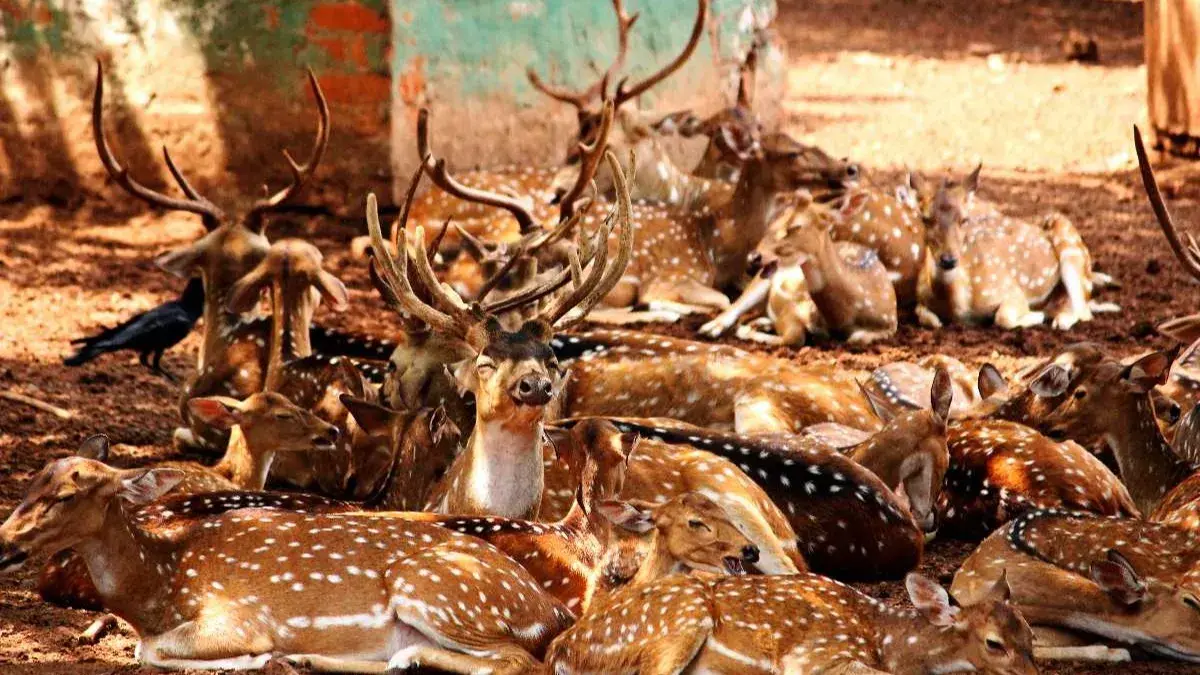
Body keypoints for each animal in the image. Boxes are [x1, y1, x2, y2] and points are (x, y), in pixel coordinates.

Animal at [0, 453, 576, 673]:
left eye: (67, 495)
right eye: (32, 483)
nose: (4, 542)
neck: (162, 586)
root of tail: (553, 611)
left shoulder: (242, 615)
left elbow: (150, 651)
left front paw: (254, 659)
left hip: (437, 588)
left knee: (519, 661)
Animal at [917, 164, 1116, 330]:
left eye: (964, 219)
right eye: (926, 219)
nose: (948, 259)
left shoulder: (1010, 289)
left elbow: (1003, 317)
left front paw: (1036, 316)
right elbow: (925, 316)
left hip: (1071, 243)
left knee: (1083, 311)